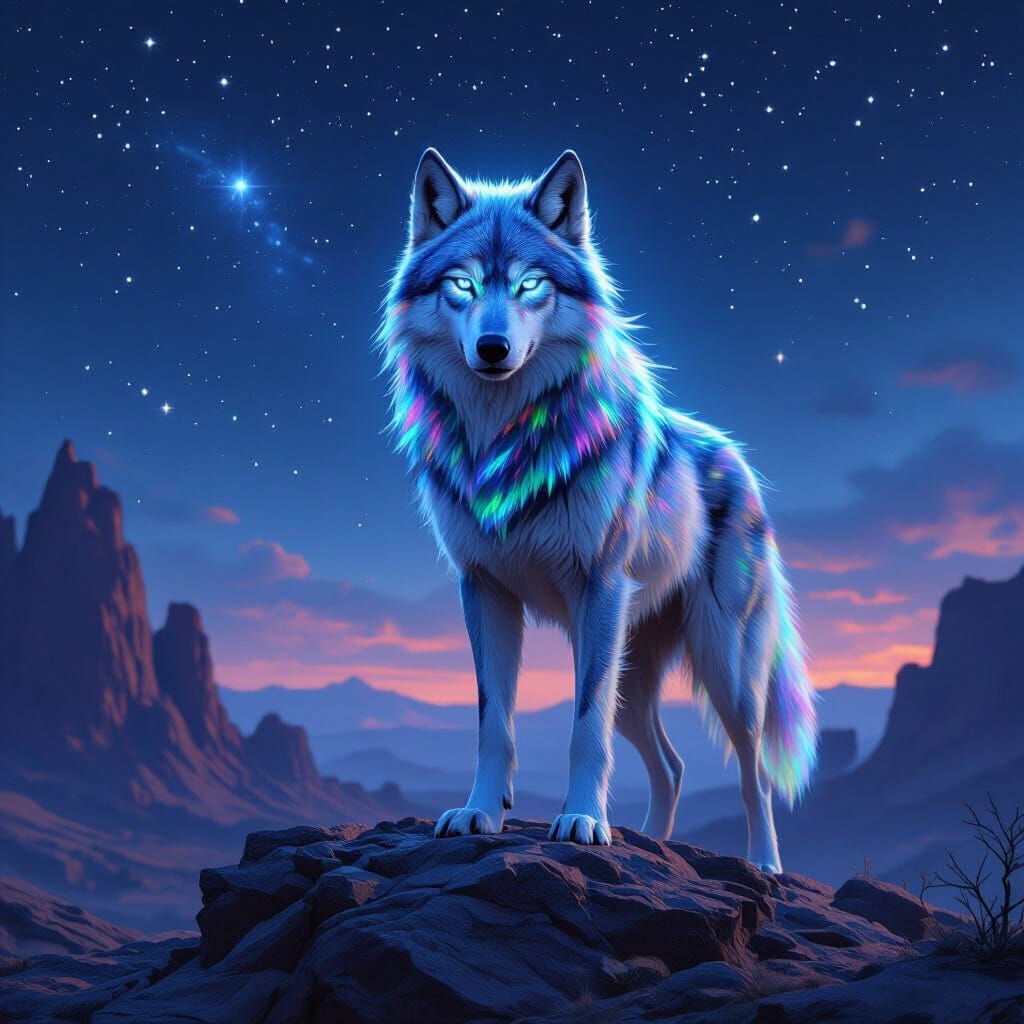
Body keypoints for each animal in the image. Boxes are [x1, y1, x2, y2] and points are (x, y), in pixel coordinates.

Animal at [378, 148, 818, 871]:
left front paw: (583, 821)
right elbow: (493, 721)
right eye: (462, 286)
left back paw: (764, 865)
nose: (493, 348)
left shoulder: (600, 587)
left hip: (719, 667)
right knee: (672, 766)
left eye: (530, 285)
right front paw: (478, 813)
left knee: (752, 771)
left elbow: (583, 727)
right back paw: (655, 843)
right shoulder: (484, 591)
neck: (505, 439)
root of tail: (738, 458)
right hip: (631, 676)